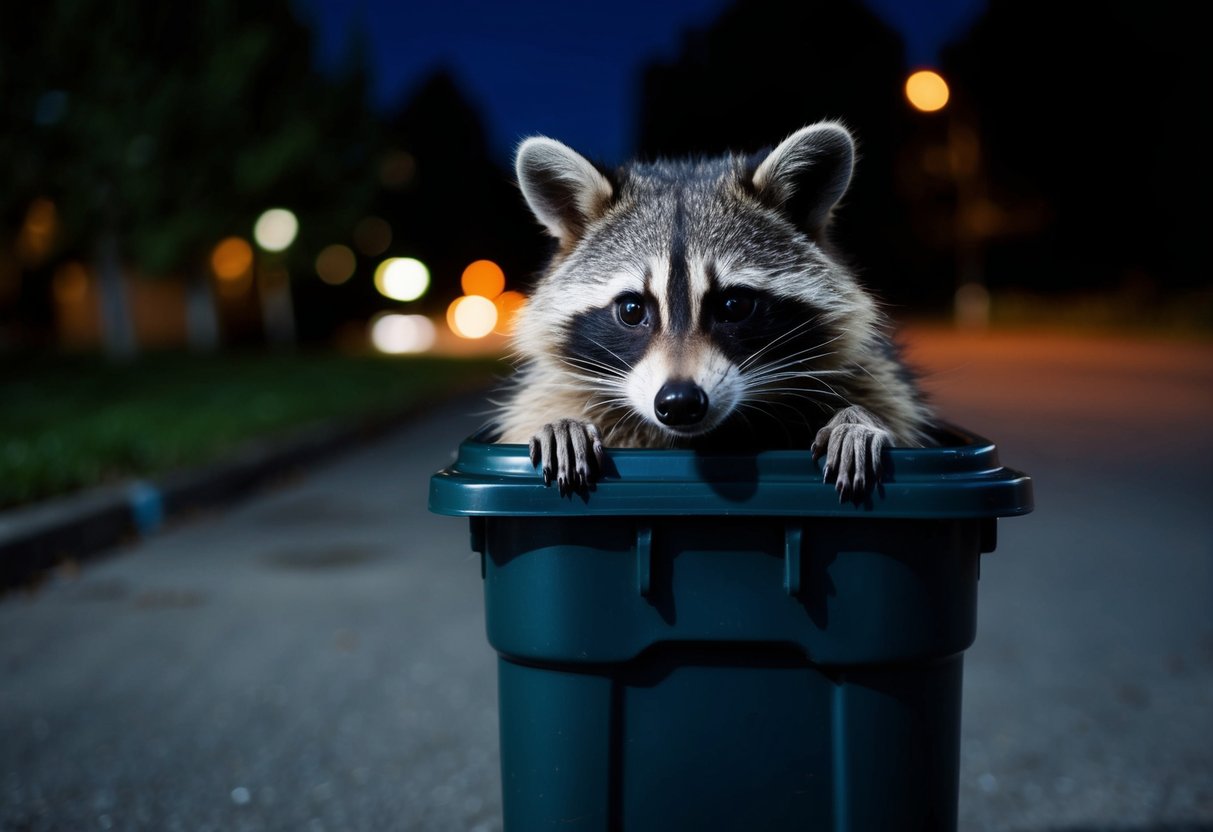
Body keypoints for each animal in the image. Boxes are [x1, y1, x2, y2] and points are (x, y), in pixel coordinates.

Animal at [493, 121, 934, 501]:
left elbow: (890, 409)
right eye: (632, 310)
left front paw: (857, 419)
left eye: (734, 306)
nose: (679, 402)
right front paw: (562, 422)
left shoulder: (873, 372)